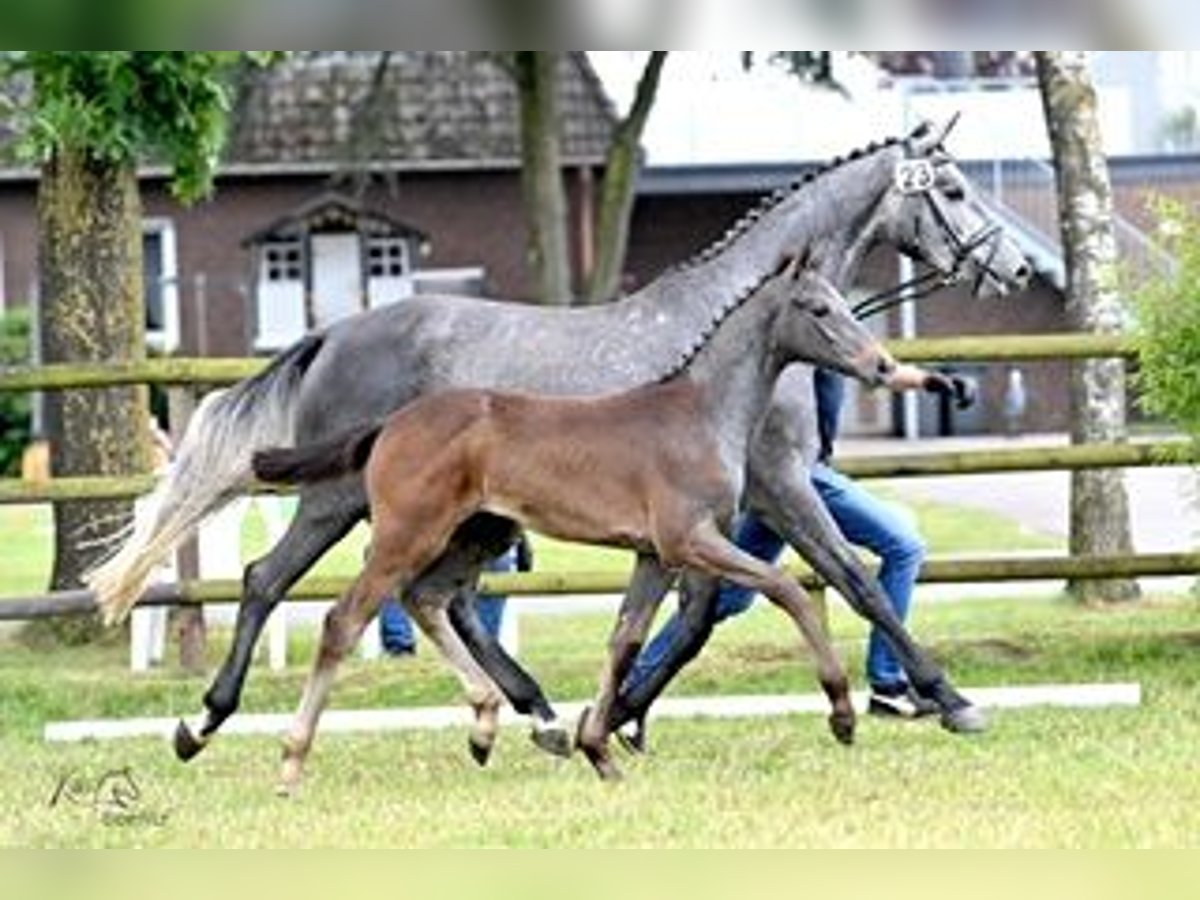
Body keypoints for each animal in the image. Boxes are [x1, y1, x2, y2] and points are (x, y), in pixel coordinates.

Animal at [253, 264, 897, 792]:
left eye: (842, 301)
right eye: (817, 309)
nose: (882, 365)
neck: (701, 413)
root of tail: (390, 423)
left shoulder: (654, 555)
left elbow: (624, 639)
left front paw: (598, 748)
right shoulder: (689, 539)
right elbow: (788, 589)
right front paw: (842, 714)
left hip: (472, 535)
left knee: (426, 598)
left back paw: (485, 726)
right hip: (409, 533)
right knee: (344, 619)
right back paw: (289, 763)